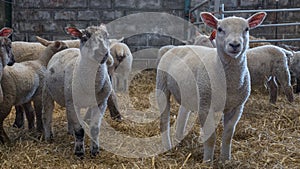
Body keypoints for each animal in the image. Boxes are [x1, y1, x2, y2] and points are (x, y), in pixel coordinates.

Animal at [41, 24, 112, 156]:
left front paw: (95, 151)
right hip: (47, 91)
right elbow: (79, 130)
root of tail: (65, 49)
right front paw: (79, 152)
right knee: (47, 114)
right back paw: (48, 137)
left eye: (107, 36)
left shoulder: (101, 103)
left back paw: (70, 132)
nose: (102, 53)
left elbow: (95, 129)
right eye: (84, 38)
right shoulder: (73, 103)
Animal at [156, 11, 266, 162]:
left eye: (247, 29)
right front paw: (207, 161)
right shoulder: (205, 106)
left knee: (182, 113)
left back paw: (179, 138)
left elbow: (228, 135)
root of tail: (175, 47)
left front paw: (225, 159)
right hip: (162, 85)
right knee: (164, 120)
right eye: (220, 29)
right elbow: (210, 137)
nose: (235, 44)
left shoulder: (237, 107)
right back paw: (167, 146)